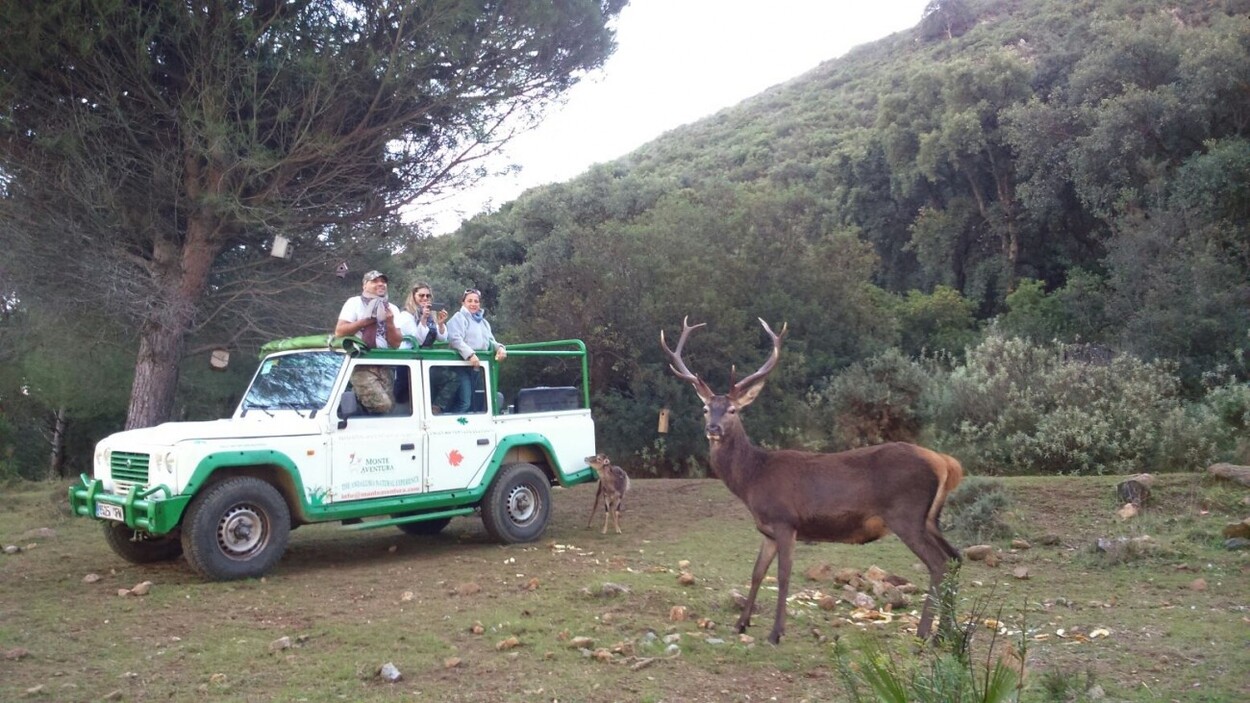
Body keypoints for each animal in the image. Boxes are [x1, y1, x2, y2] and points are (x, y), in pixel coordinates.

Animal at [665, 316, 965, 640]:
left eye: (733, 410)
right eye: (706, 408)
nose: (714, 429)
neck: (752, 479)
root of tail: (945, 463)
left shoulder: (786, 521)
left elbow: (783, 576)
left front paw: (776, 633)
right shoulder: (767, 530)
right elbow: (756, 573)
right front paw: (741, 623)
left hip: (906, 514)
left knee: (939, 562)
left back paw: (925, 632)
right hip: (930, 518)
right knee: (955, 557)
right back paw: (946, 632)